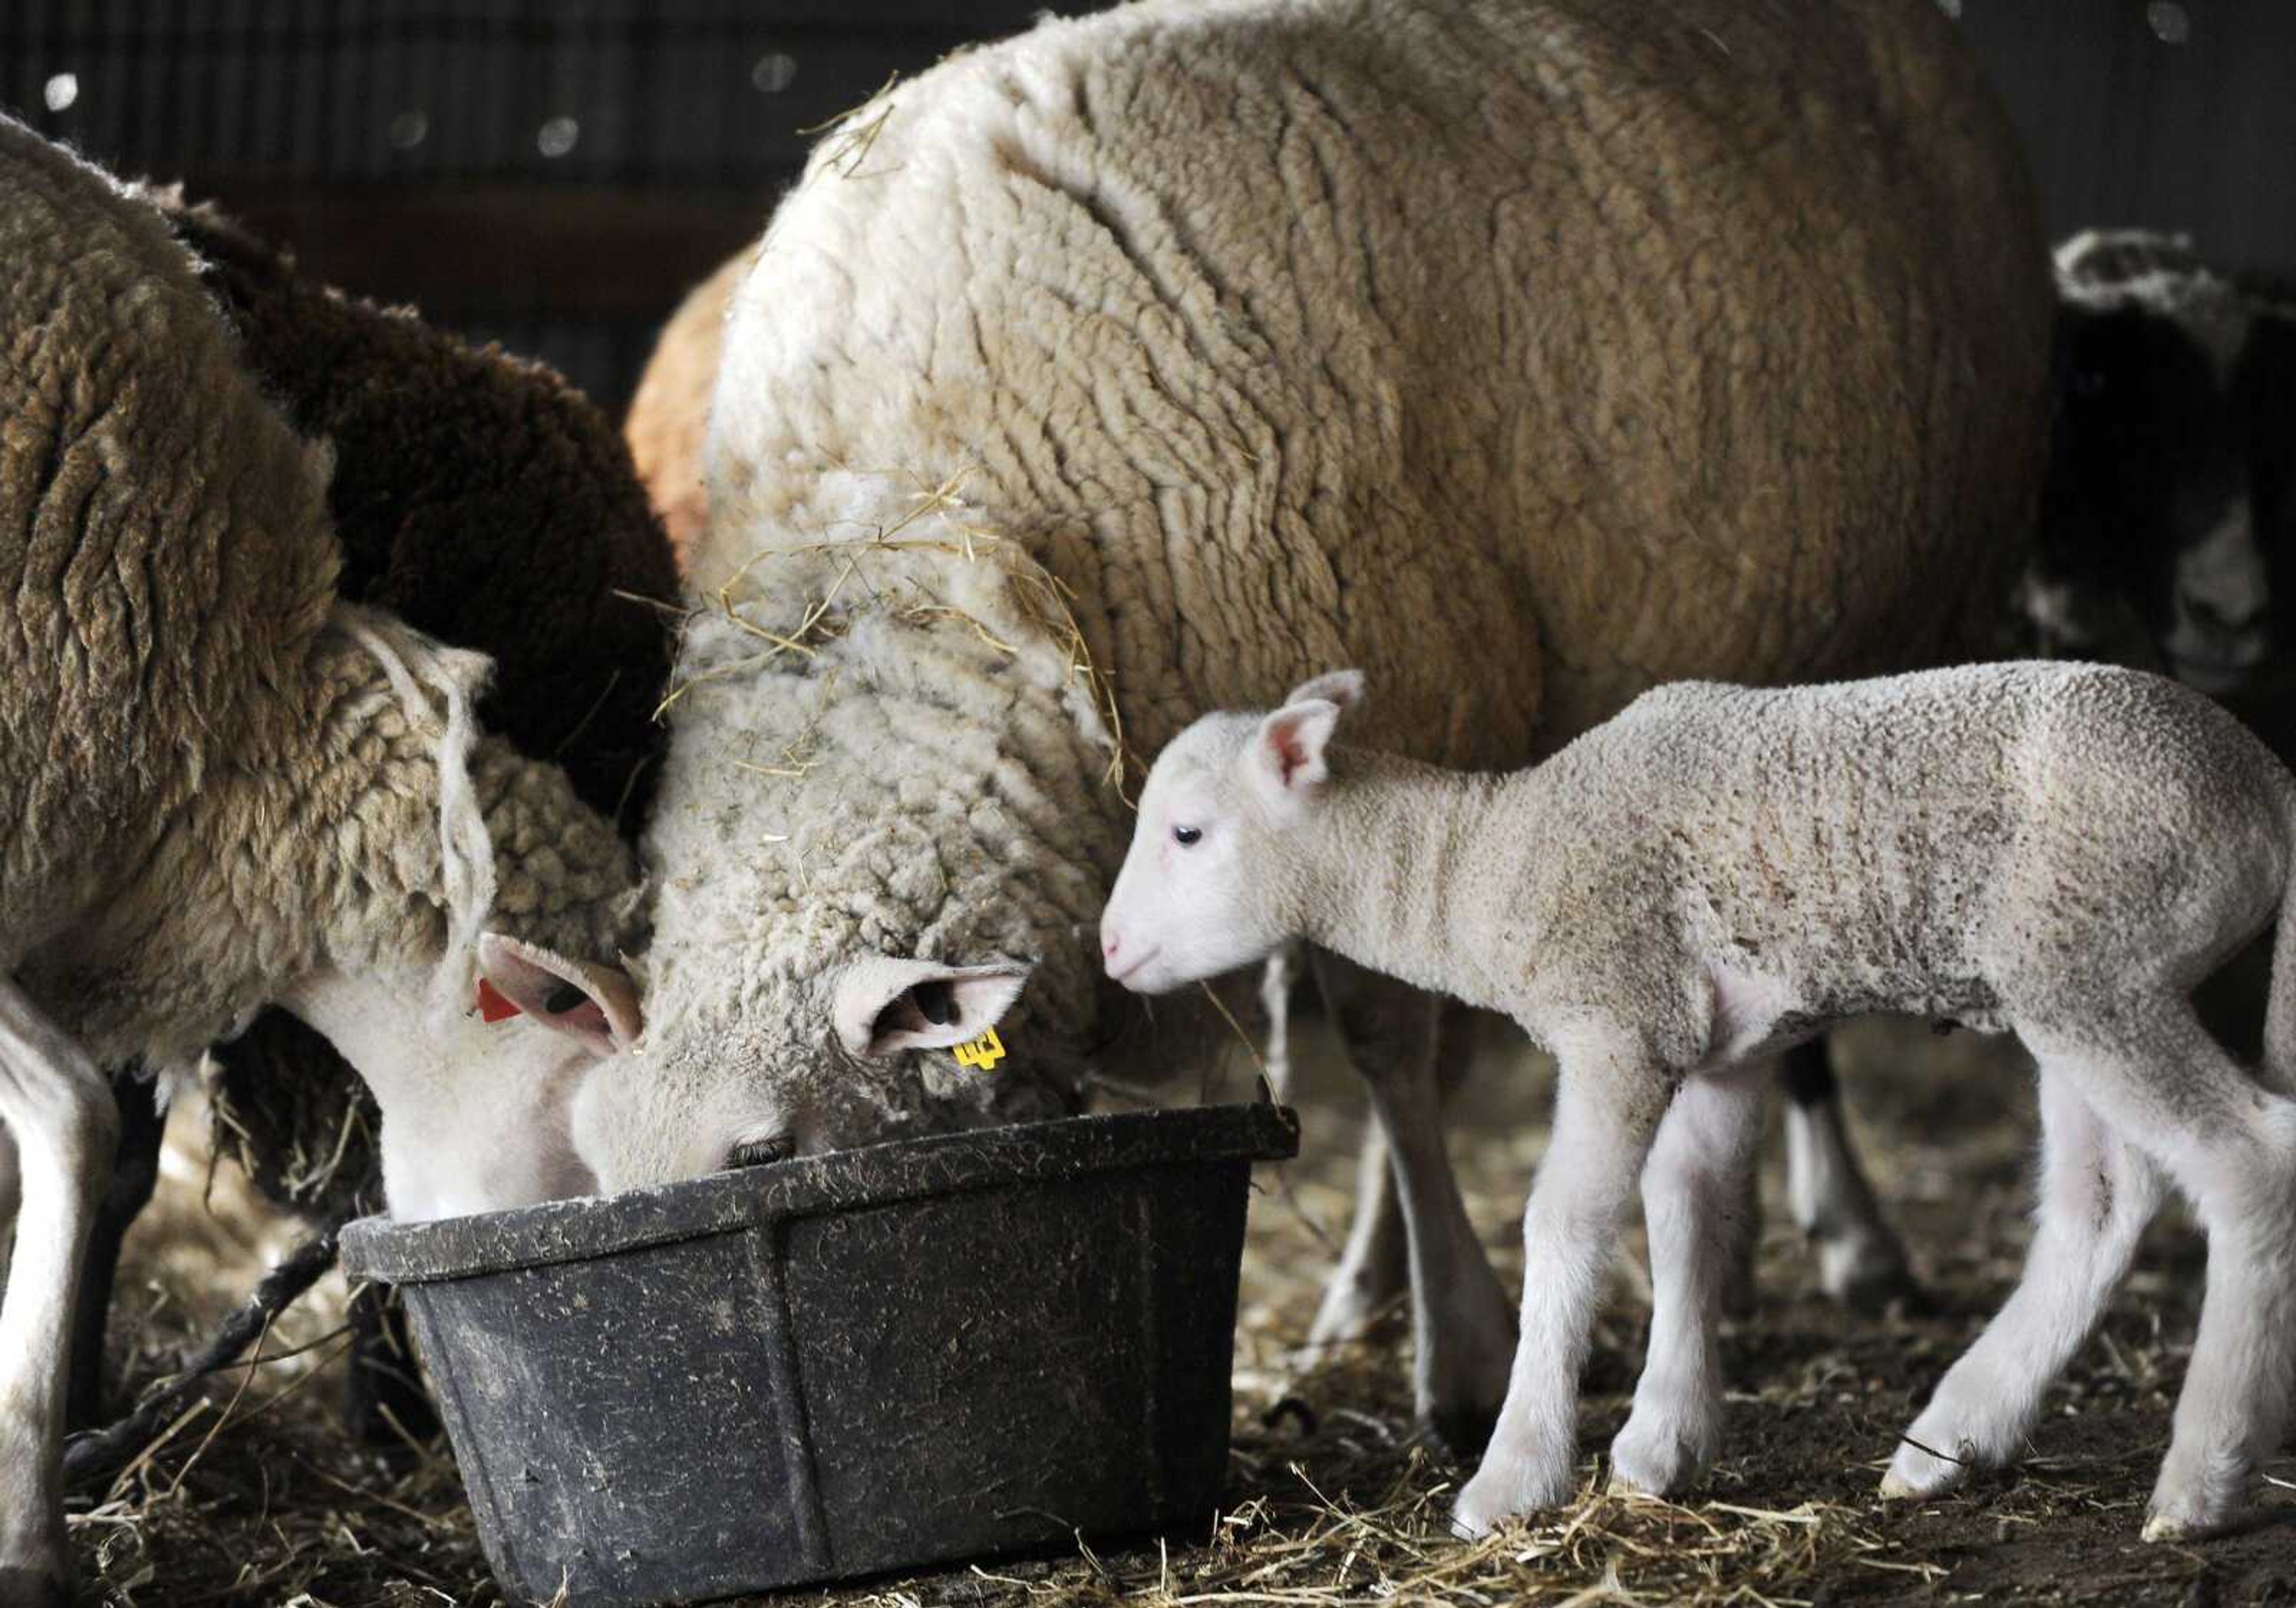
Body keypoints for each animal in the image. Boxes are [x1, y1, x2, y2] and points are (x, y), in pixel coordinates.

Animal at [551, 0, 2048, 1450]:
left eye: (761, 1156)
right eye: (596, 1163)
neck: (930, 547)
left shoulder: (1388, 717)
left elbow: (1389, 1045)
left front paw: (1463, 1358)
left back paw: (1848, 1241)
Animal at [1102, 661, 2296, 1541]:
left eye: (1189, 833)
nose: (1109, 950)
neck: (1488, 859)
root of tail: (2266, 779)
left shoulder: (1615, 1017)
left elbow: (1567, 1220)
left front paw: (1514, 1476)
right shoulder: (1716, 1049)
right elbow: (1687, 1211)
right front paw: (1659, 1446)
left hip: (2099, 953)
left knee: (2249, 1165)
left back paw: (2202, 1480)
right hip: (2060, 971)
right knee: (2104, 1200)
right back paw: (1951, 1439)